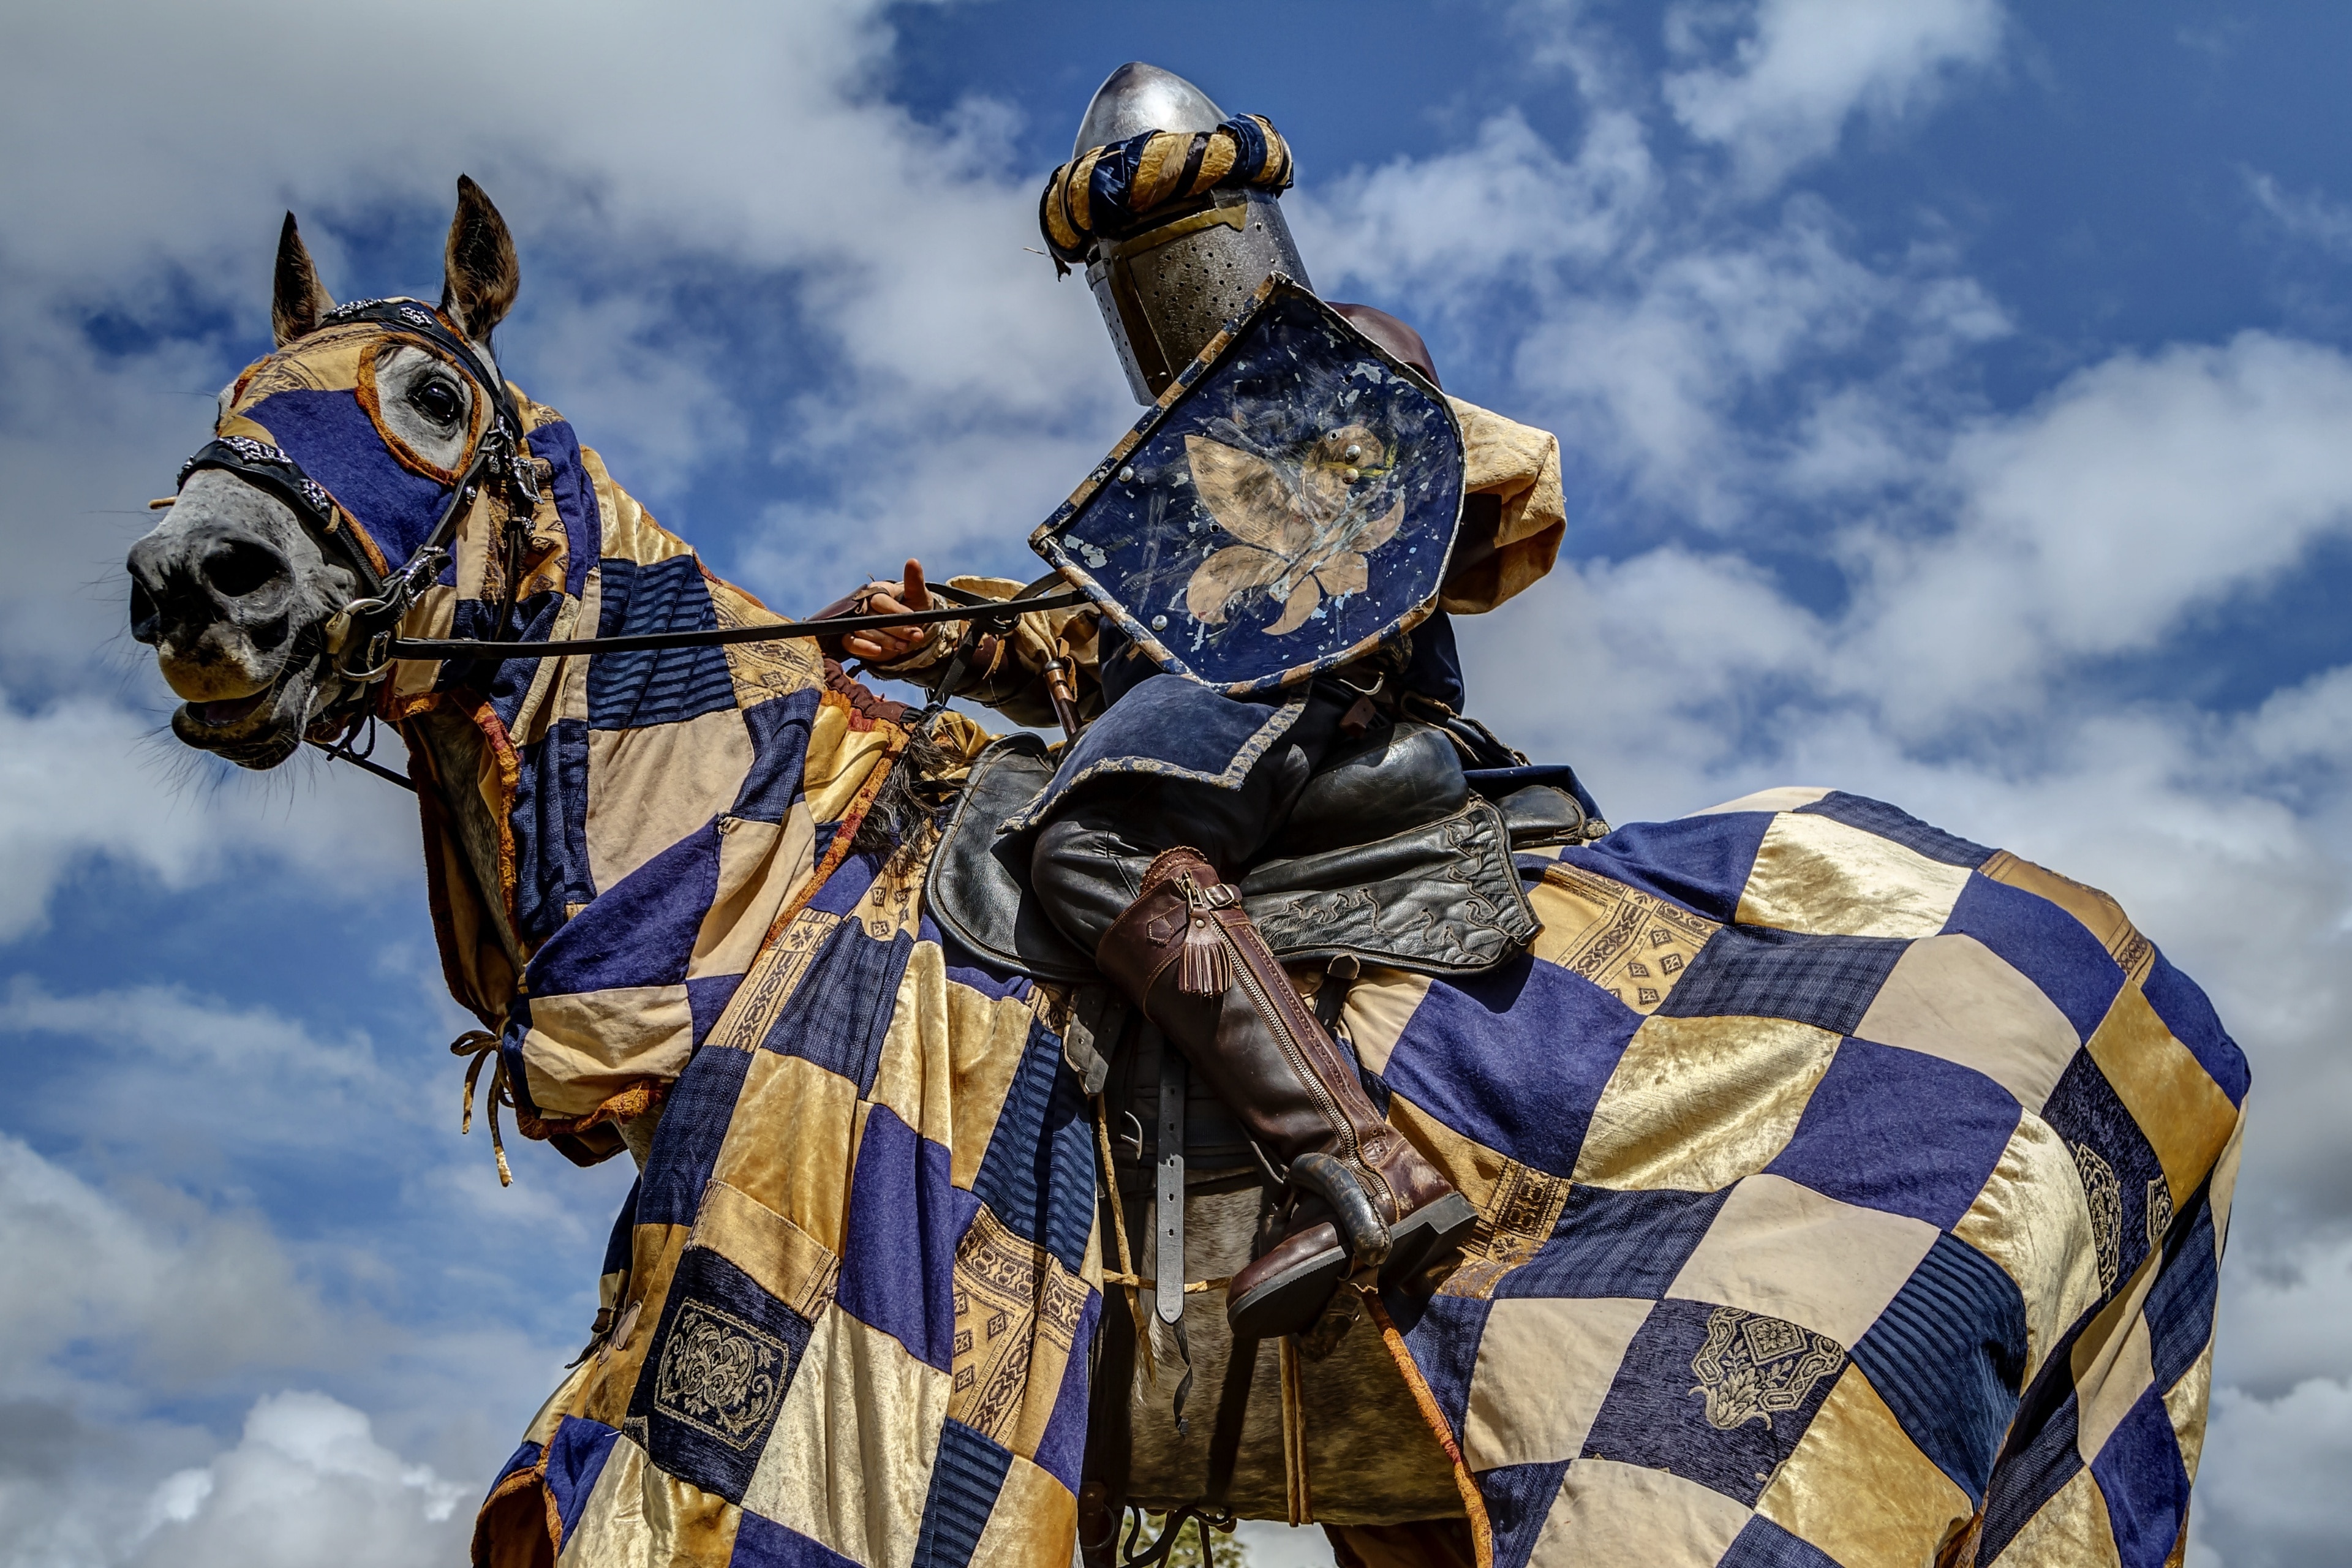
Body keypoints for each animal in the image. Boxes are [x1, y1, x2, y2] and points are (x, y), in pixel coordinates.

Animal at [124, 177, 2239, 1561]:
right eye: (232, 394)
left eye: (427, 402)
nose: (193, 578)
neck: (748, 884)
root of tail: (2165, 1021)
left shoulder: (755, 1406)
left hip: (1717, 1467)